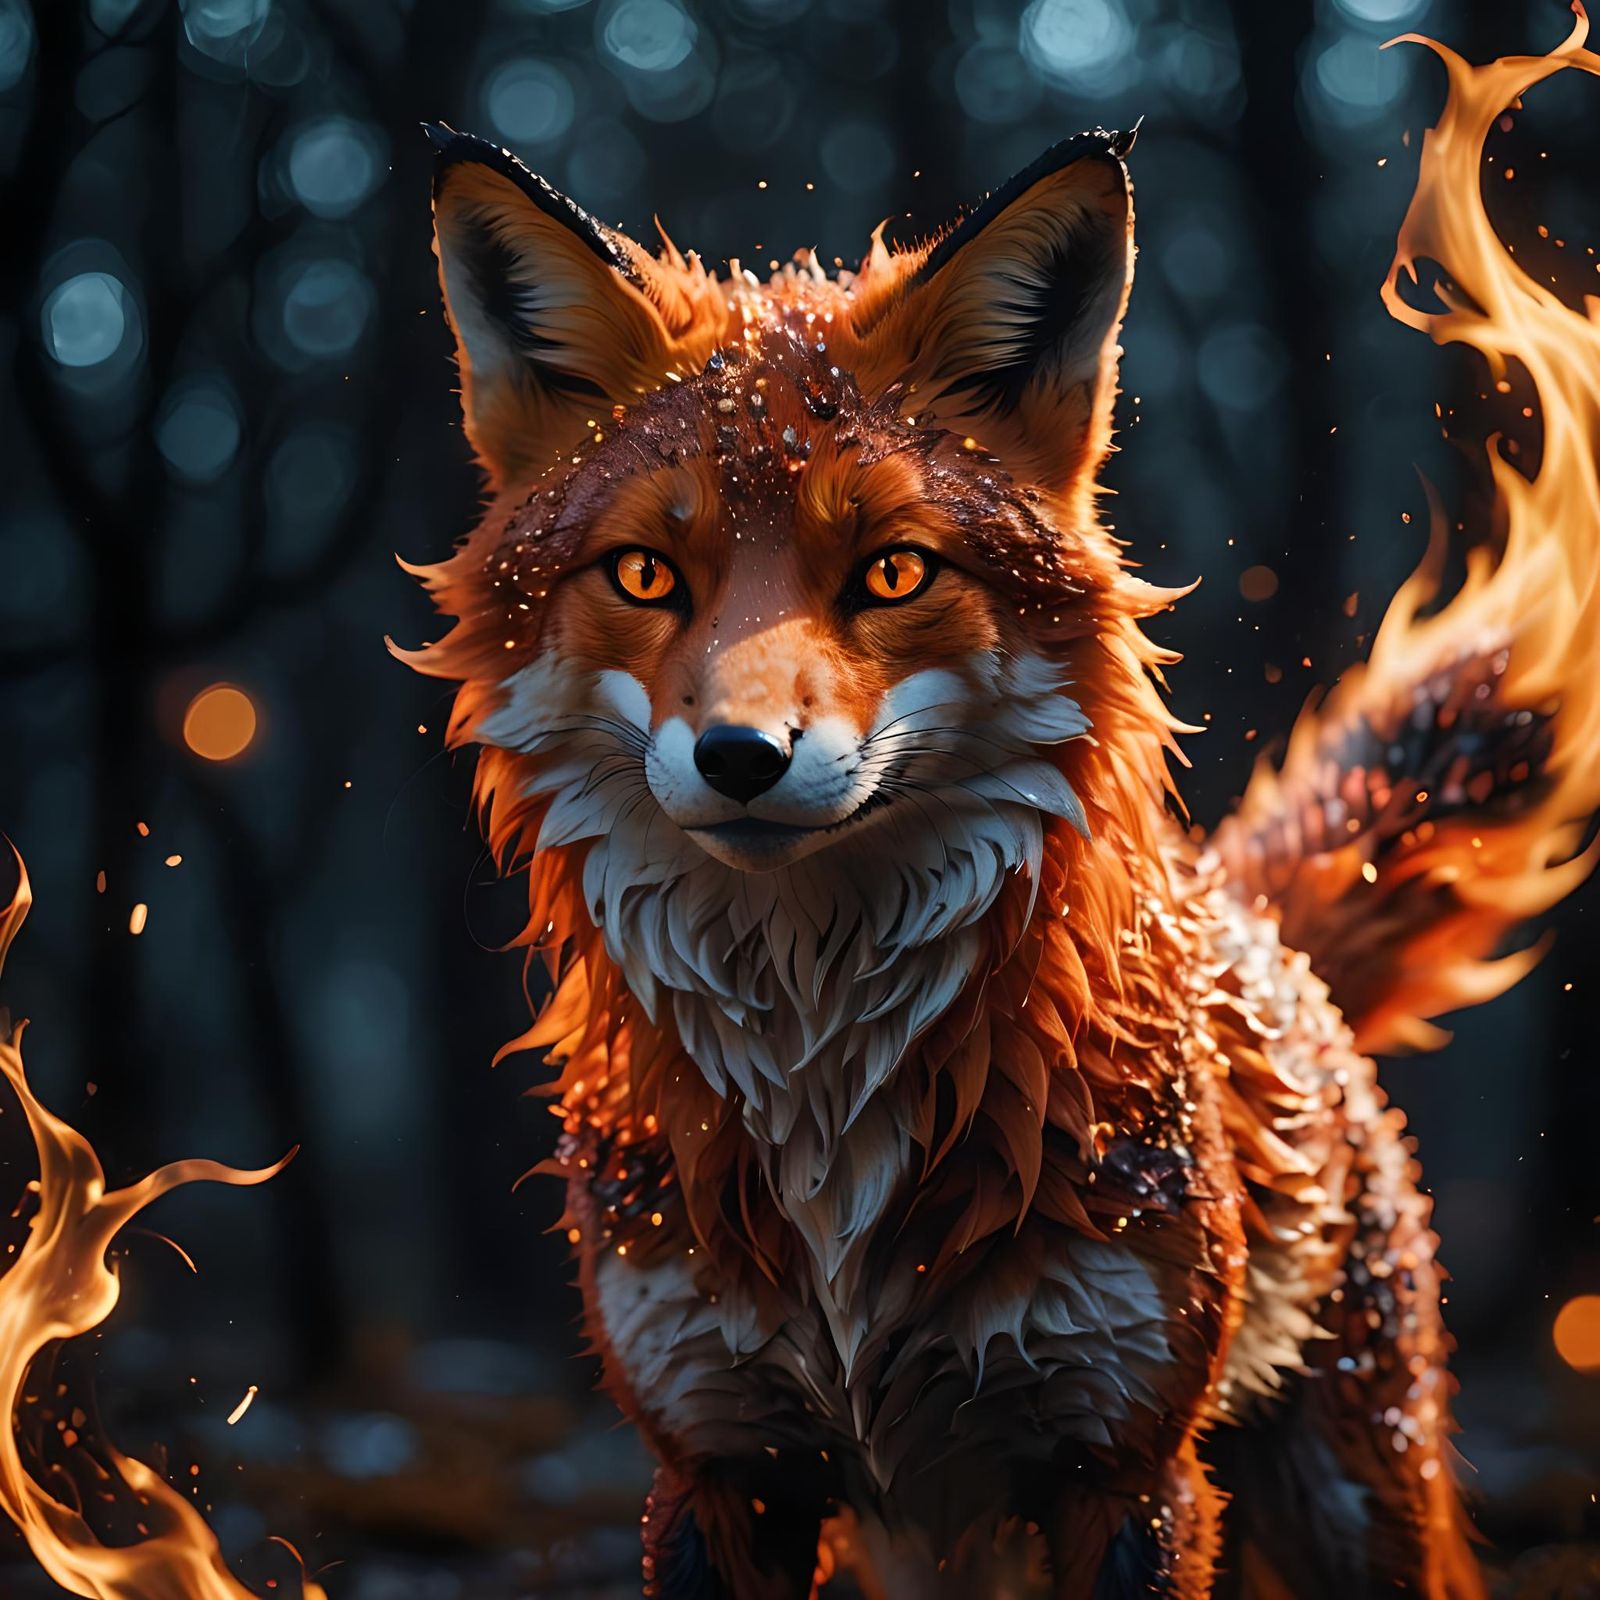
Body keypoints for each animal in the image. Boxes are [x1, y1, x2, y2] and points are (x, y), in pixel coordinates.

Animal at [400, 101, 1597, 1599]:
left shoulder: (1122, 1467)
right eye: (644, 574)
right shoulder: (719, 1466)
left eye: (893, 572)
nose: (741, 756)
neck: (826, 1104)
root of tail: (1253, 928)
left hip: (1347, 1507)